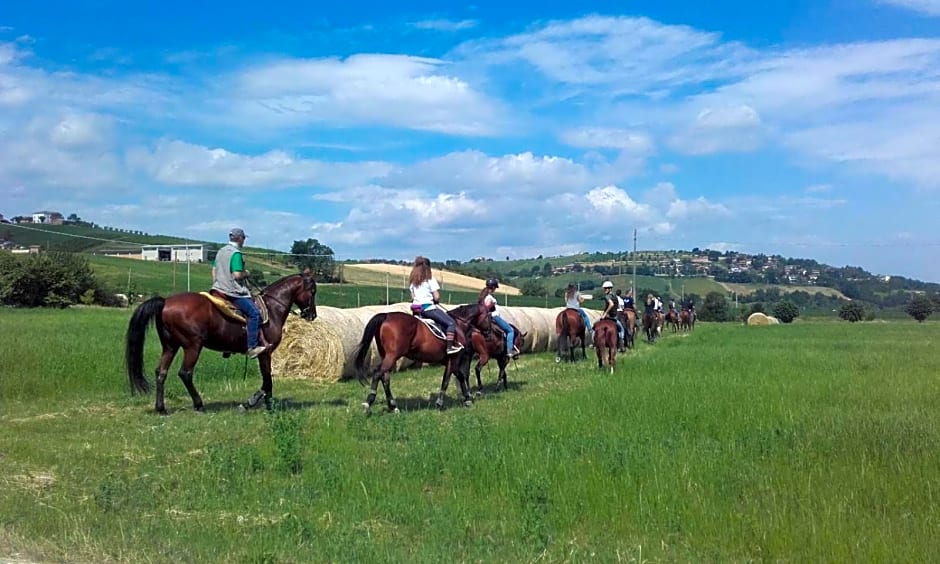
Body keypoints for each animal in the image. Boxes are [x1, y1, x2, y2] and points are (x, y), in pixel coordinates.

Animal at [125, 268, 318, 414]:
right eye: (313, 291)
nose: (312, 315)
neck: (272, 309)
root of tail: (165, 302)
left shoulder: (265, 353)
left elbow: (266, 380)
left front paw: (256, 402)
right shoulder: (266, 352)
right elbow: (267, 380)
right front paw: (262, 404)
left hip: (170, 346)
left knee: (161, 372)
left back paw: (161, 408)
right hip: (192, 346)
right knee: (185, 373)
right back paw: (199, 404)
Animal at [352, 306, 492, 412]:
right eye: (489, 317)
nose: (489, 333)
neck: (458, 324)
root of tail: (386, 315)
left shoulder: (450, 362)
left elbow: (460, 377)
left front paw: (467, 399)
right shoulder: (453, 360)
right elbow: (446, 380)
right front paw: (440, 402)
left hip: (386, 355)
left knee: (385, 377)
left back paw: (393, 406)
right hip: (392, 355)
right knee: (378, 373)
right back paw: (369, 401)